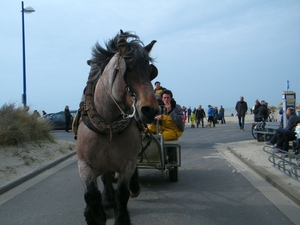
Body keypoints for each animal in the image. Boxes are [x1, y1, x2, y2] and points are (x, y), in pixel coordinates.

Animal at [75, 30, 159, 225]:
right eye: (129, 69)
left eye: (150, 72)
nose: (151, 109)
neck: (108, 126)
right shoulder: (84, 165)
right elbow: (91, 195)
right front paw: (95, 215)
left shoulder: (127, 163)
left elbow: (122, 194)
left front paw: (121, 217)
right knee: (105, 178)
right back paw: (106, 201)